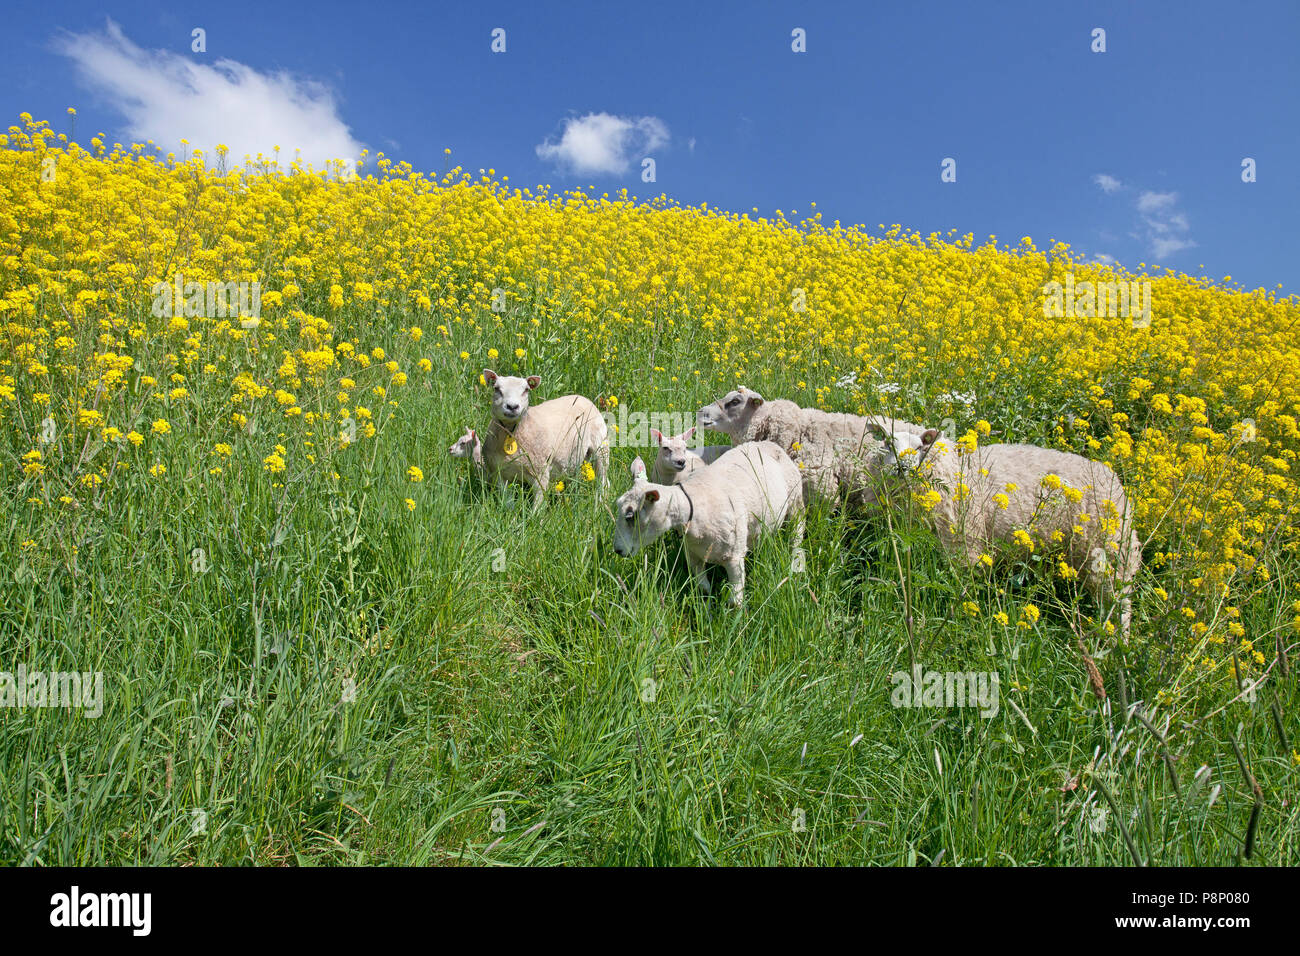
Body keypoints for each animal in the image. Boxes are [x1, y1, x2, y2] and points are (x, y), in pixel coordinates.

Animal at [478, 369, 613, 512]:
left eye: (526, 390)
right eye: (497, 389)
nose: (512, 406)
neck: (512, 431)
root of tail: (582, 397)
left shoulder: (540, 472)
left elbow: (538, 506)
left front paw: (534, 517)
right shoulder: (498, 474)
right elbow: (508, 503)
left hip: (601, 447)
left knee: (604, 480)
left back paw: (601, 505)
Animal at [608, 442, 800, 606]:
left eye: (630, 515)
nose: (617, 550)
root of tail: (768, 443)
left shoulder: (735, 557)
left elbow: (735, 602)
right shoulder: (693, 556)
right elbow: (704, 589)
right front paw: (706, 613)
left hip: (795, 501)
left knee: (797, 529)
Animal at [873, 426, 1138, 634]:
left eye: (919, 447)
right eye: (888, 444)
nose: (901, 468)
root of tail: (1114, 478)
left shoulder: (963, 542)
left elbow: (960, 583)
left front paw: (961, 614)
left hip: (1111, 552)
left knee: (1120, 605)